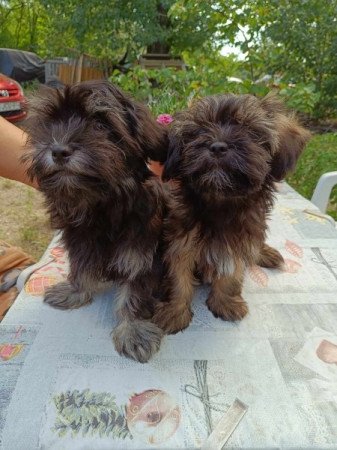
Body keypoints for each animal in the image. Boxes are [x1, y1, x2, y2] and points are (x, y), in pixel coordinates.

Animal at [23, 81, 167, 362]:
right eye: (51, 123)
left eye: (100, 125)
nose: (59, 150)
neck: (104, 202)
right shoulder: (81, 240)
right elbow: (81, 268)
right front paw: (75, 291)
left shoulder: (139, 250)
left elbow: (135, 287)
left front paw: (132, 329)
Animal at [153, 94, 310, 334]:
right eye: (198, 131)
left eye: (249, 130)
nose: (217, 146)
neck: (222, 203)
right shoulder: (180, 242)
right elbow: (178, 278)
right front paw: (175, 311)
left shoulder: (238, 242)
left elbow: (232, 273)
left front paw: (225, 302)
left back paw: (264, 253)